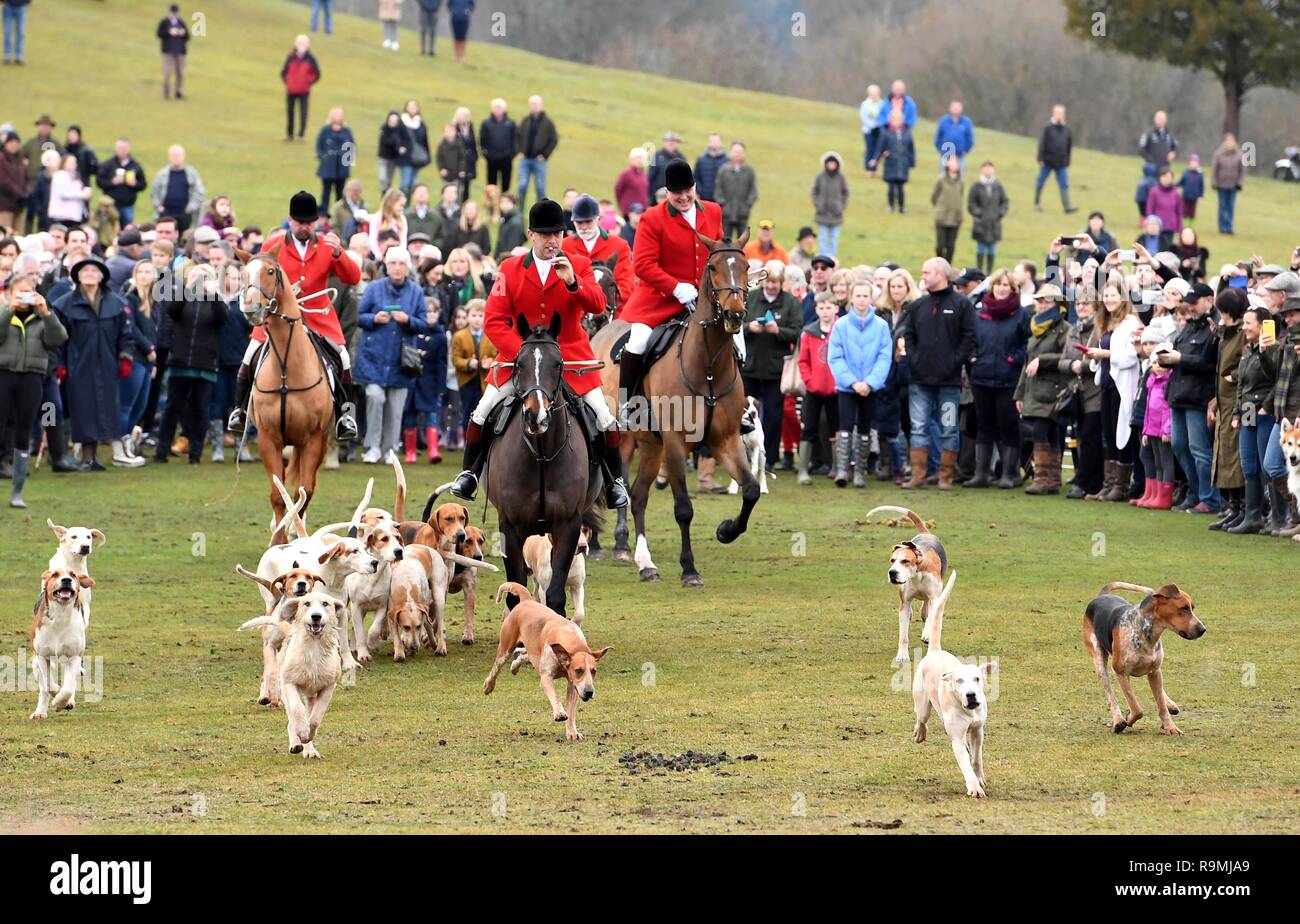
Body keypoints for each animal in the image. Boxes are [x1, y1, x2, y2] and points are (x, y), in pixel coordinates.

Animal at [236, 244, 332, 548]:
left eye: (270, 271)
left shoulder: (314, 439)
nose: (251, 309)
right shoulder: (270, 438)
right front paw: (277, 540)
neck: (288, 369)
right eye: (243, 273)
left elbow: (305, 491)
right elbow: (278, 495)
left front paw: (294, 535)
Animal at [592, 235, 759, 590]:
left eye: (746, 265)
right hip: (623, 440)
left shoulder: (726, 441)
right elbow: (683, 508)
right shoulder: (675, 444)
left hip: (650, 445)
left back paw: (645, 563)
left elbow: (751, 490)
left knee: (638, 496)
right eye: (713, 267)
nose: (735, 314)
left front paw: (727, 530)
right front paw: (690, 569)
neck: (707, 367)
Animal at [868, 506, 951, 665]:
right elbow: (903, 635)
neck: (917, 574)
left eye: (905, 561)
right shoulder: (904, 603)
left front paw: (927, 634)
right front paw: (902, 655)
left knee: (927, 612)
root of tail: (926, 533)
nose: (892, 572)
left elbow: (931, 618)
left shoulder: (935, 598)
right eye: (892, 560)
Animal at [1081, 584, 1201, 738]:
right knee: (1110, 695)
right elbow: (1137, 709)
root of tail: (1101, 596)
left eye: (1192, 607)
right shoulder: (1121, 673)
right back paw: (1118, 720)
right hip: (1099, 661)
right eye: (1184, 608)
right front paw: (1127, 719)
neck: (1146, 633)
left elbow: (1161, 706)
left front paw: (1170, 726)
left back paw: (1170, 704)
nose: (1203, 629)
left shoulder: (1155, 671)